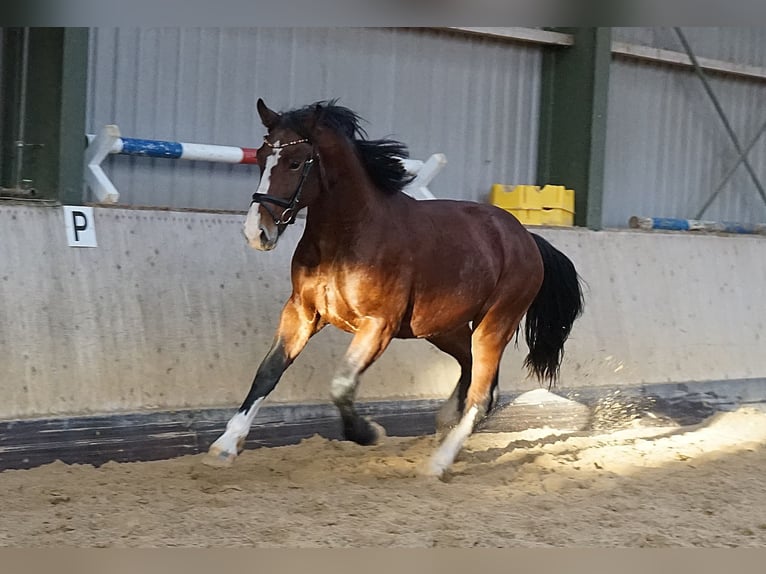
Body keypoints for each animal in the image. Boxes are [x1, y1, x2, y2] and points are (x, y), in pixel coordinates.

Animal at [204, 98, 584, 476]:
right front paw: (226, 445)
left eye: (295, 162)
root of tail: (526, 239)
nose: (257, 233)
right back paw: (445, 421)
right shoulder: (302, 312)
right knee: (472, 369)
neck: (346, 237)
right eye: (262, 156)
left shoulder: (378, 324)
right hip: (442, 328)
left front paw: (367, 432)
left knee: (481, 394)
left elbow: (342, 385)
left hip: (494, 325)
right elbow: (268, 372)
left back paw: (439, 462)